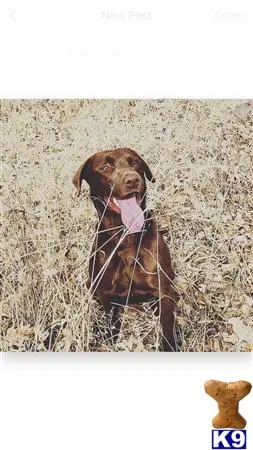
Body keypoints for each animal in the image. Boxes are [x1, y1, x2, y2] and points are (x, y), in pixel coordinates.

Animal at [72, 148, 177, 352]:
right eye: (105, 167)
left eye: (134, 162)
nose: (132, 180)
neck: (126, 237)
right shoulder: (106, 295)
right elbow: (112, 326)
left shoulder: (162, 291)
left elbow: (167, 328)